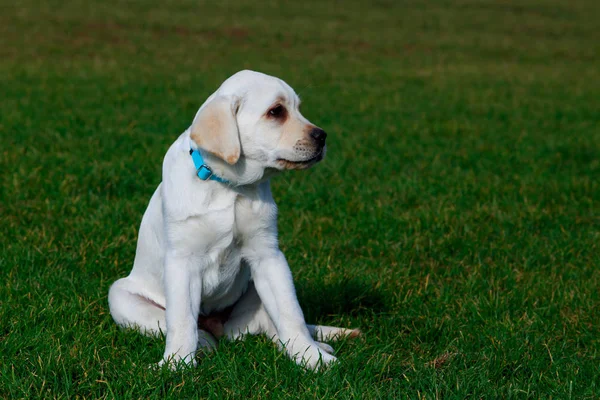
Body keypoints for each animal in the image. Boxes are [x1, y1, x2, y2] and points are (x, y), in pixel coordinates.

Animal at [108, 69, 358, 368]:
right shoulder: (183, 262)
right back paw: (204, 344)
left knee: (273, 329)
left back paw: (317, 343)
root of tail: (219, 327)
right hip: (121, 296)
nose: (323, 136)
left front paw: (312, 358)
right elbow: (181, 322)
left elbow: (291, 314)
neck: (230, 186)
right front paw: (175, 365)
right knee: (189, 327)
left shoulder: (269, 256)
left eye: (298, 108)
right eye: (276, 111)